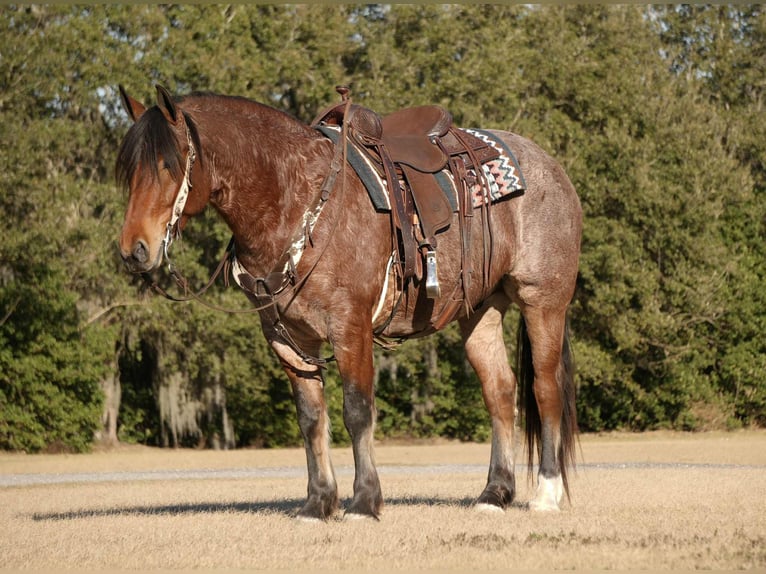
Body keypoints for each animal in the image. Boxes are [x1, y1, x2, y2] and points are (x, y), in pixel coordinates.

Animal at [116, 85, 582, 521]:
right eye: (129, 171)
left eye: (167, 165)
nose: (134, 251)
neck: (295, 201)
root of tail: (552, 167)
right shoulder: (287, 339)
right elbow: (311, 418)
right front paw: (318, 503)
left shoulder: (350, 327)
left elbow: (357, 411)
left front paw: (364, 501)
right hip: (480, 311)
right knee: (500, 392)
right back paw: (494, 493)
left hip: (543, 302)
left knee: (545, 389)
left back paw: (546, 494)